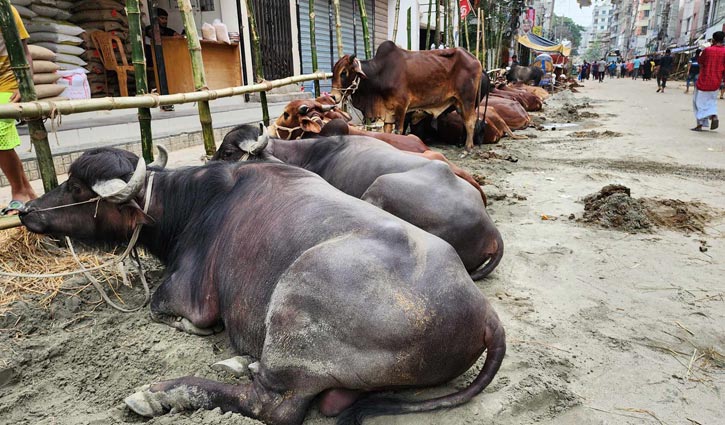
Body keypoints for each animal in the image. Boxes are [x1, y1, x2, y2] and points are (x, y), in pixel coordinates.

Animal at [18, 147, 504, 424]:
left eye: (77, 187)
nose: (25, 210)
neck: (193, 205)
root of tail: (485, 314)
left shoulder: (189, 296)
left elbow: (164, 307)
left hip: (296, 299)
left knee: (273, 406)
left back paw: (159, 394)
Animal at [330, 40, 484, 149]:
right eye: (334, 70)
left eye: (344, 72)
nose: (333, 96)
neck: (380, 73)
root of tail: (476, 59)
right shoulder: (388, 112)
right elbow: (386, 131)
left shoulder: (401, 107)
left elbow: (399, 131)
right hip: (458, 102)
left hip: (467, 99)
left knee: (470, 121)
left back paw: (468, 148)